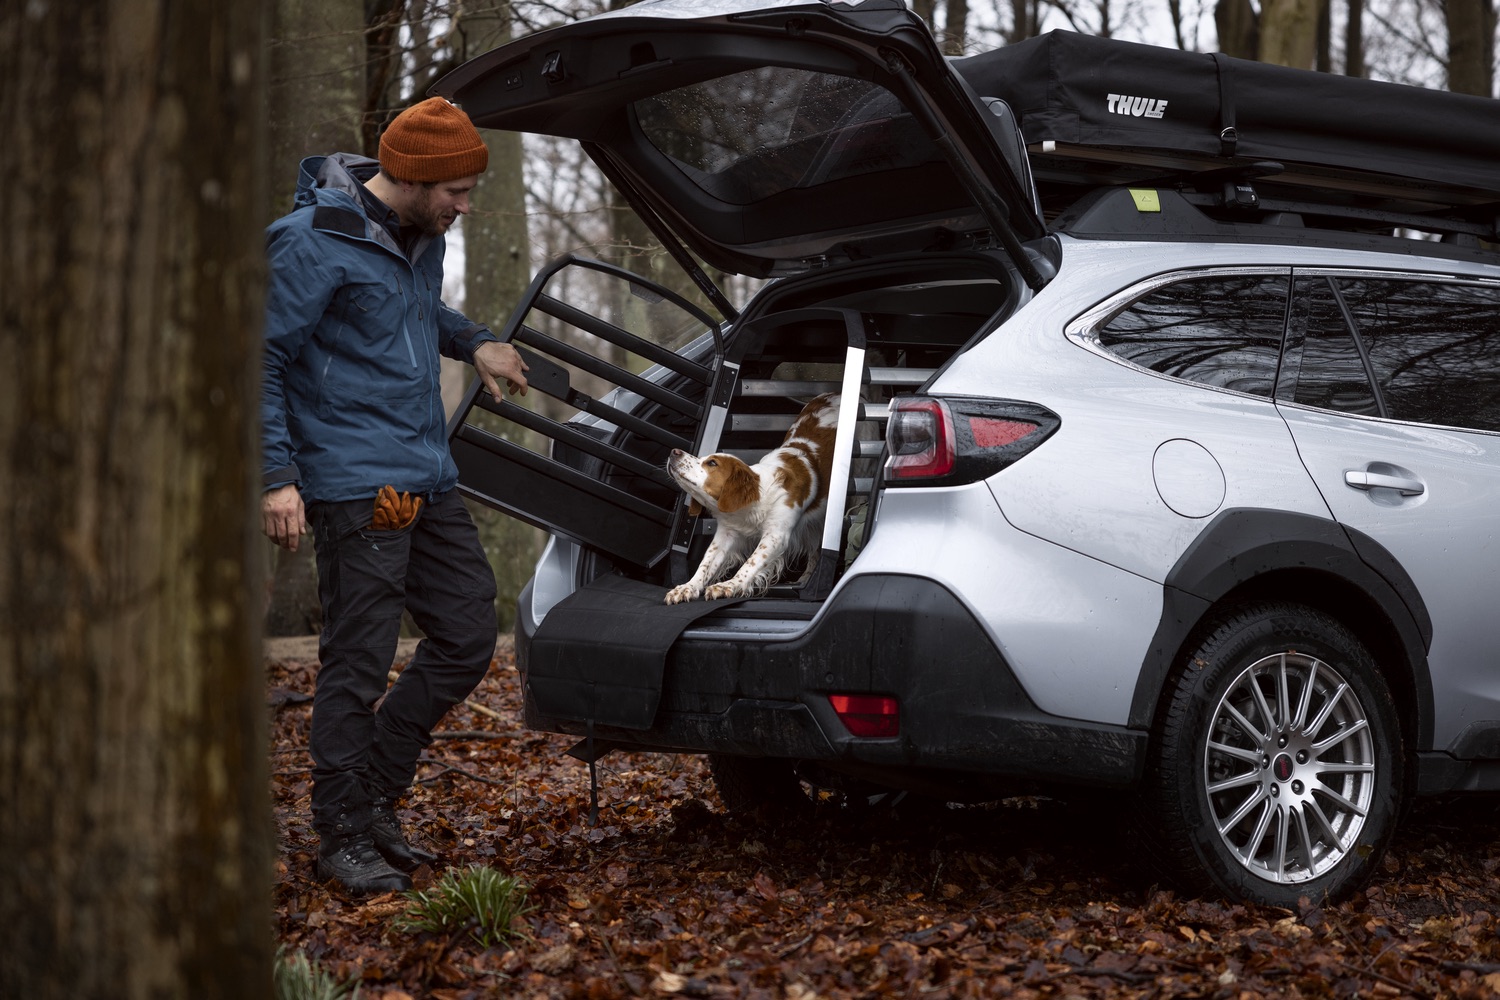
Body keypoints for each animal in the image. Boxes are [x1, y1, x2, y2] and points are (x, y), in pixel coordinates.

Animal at [669, 392, 846, 605]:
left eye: (712, 463)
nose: (674, 451)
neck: (753, 502)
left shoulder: (776, 534)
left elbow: (751, 563)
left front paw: (729, 585)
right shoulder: (727, 532)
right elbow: (706, 562)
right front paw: (687, 587)